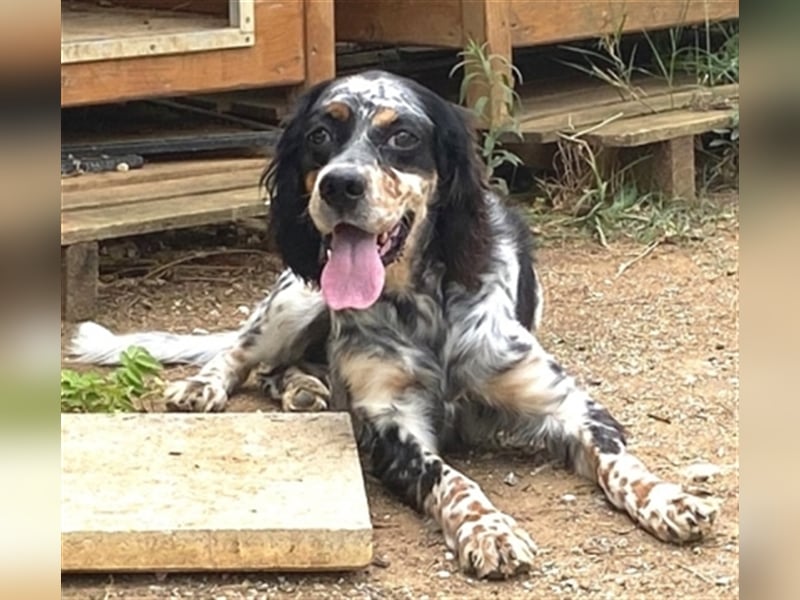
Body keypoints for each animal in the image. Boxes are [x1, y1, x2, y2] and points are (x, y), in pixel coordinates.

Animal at [70, 71, 720, 580]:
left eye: (402, 136)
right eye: (321, 134)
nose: (339, 184)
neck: (425, 307)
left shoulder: (566, 404)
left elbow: (619, 461)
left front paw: (668, 498)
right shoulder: (391, 423)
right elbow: (453, 480)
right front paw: (489, 530)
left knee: (282, 368)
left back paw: (305, 389)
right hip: (296, 298)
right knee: (244, 353)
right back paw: (211, 385)